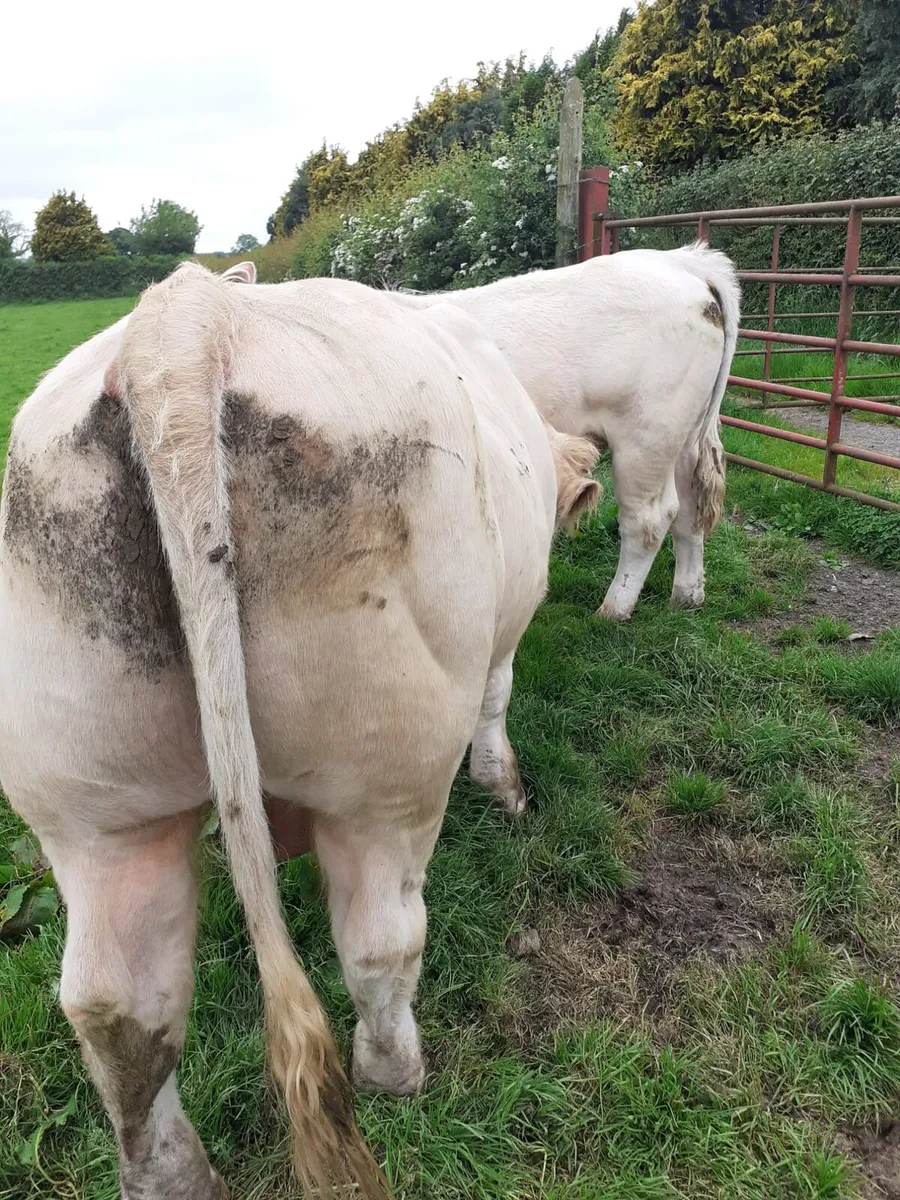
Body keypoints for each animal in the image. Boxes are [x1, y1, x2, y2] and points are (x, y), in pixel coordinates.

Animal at [0, 262, 600, 1199]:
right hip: (386, 765)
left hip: (91, 803)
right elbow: (497, 701)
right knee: (382, 943)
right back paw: (396, 1076)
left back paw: (172, 1176)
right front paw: (505, 791)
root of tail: (186, 317)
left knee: (114, 1007)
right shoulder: (506, 628)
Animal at [393, 243, 740, 621]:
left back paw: (613, 609)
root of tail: (679, 260)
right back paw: (686, 596)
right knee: (691, 508)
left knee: (648, 519)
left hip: (646, 437)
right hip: (685, 438)